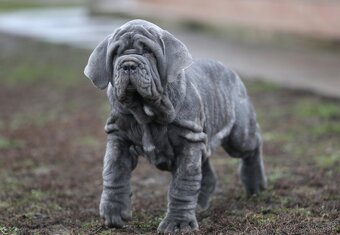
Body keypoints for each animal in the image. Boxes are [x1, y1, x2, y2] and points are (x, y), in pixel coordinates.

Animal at [83, 19, 266, 233]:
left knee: (254, 144)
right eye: (116, 54)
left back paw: (256, 185)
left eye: (149, 52)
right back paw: (201, 205)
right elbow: (113, 173)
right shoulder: (118, 138)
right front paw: (113, 212)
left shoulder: (188, 143)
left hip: (238, 136)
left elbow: (183, 185)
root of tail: (231, 71)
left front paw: (178, 223)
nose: (128, 64)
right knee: (207, 174)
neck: (145, 111)